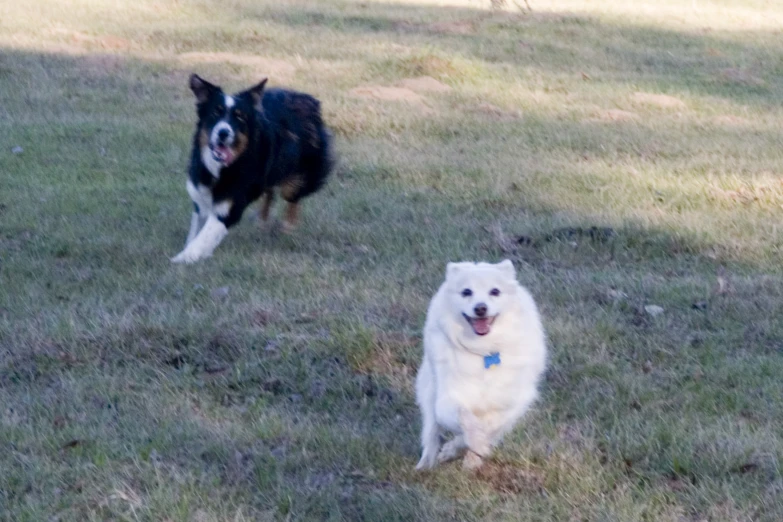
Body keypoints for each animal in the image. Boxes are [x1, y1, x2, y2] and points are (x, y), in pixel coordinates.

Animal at [172, 74, 334, 262]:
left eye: (240, 117)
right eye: (215, 113)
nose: (223, 133)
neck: (223, 167)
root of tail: (308, 98)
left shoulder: (231, 206)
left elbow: (205, 235)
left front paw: (184, 257)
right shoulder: (200, 197)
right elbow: (196, 231)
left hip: (298, 172)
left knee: (292, 196)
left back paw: (288, 225)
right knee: (270, 192)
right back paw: (261, 221)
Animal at [414, 258, 548, 468]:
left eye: (495, 291)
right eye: (466, 292)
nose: (480, 308)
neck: (484, 351)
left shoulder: (511, 402)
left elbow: (491, 427)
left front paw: (470, 453)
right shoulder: (449, 397)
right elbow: (464, 419)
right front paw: (470, 444)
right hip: (429, 390)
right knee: (431, 432)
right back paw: (426, 464)